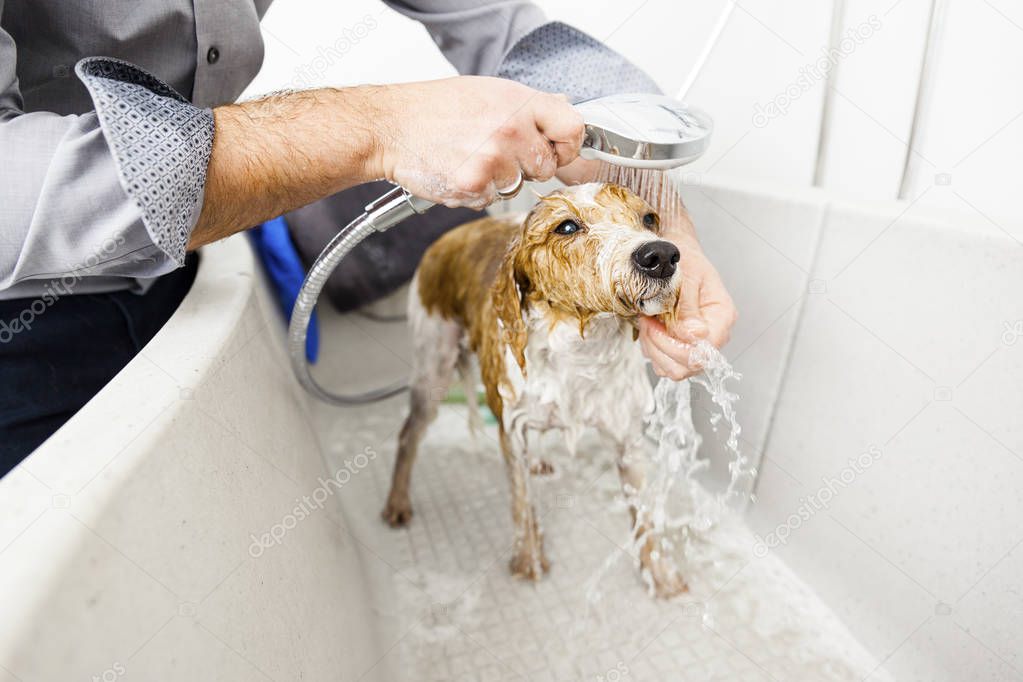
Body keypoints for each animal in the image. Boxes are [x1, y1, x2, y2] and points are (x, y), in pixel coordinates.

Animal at [384, 180, 687, 597]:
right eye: (567, 227)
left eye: (649, 219)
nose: (660, 255)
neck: (580, 352)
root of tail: (451, 234)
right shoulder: (510, 429)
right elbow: (522, 503)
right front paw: (528, 560)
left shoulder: (626, 435)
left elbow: (644, 516)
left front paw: (660, 575)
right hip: (433, 367)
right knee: (408, 433)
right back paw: (397, 501)